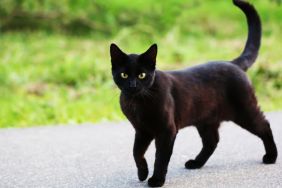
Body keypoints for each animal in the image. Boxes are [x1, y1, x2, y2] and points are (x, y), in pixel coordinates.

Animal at [109, 0, 276, 187]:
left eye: (142, 75)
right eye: (124, 75)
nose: (132, 85)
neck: (137, 103)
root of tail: (233, 63)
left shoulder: (166, 130)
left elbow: (160, 158)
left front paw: (156, 180)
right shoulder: (142, 131)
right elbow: (136, 152)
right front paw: (142, 173)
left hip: (245, 110)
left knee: (264, 125)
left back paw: (271, 157)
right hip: (205, 120)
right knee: (212, 141)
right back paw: (196, 163)